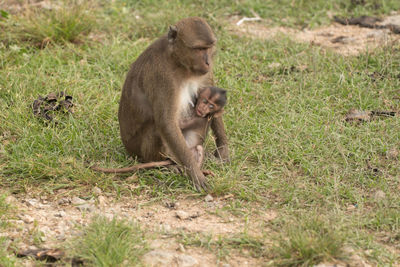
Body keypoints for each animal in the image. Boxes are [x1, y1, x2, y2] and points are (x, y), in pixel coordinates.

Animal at [91, 86, 228, 174]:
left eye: (211, 106)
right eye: (205, 101)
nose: (203, 108)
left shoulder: (197, 118)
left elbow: (175, 125)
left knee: (197, 148)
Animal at [118, 16, 228, 192]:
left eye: (209, 47)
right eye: (198, 49)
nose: (207, 62)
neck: (178, 62)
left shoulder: (205, 74)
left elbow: (214, 108)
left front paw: (223, 152)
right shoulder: (162, 76)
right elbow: (167, 123)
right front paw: (195, 174)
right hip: (139, 151)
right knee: (155, 127)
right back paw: (165, 166)